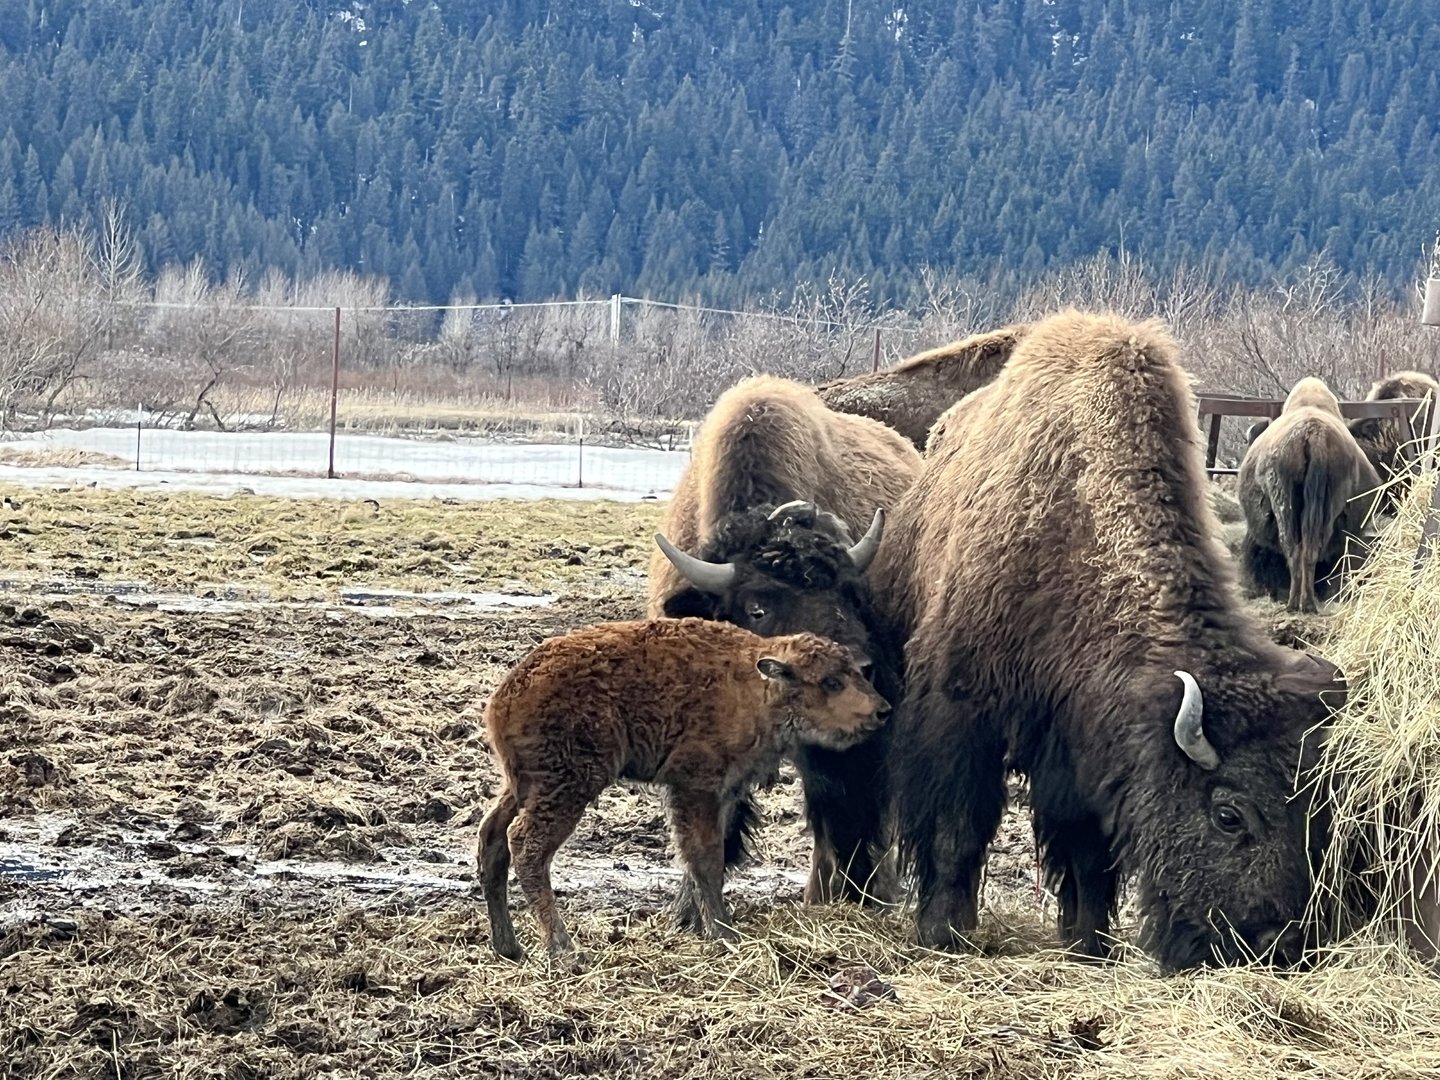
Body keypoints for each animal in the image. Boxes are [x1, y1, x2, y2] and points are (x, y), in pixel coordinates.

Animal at [477, 618, 889, 964]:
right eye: (831, 682)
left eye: (856, 673)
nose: (882, 710)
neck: (757, 687)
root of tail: (504, 699)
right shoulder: (695, 786)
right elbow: (706, 858)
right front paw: (724, 933)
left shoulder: (724, 792)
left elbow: (701, 857)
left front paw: (698, 924)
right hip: (567, 785)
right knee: (526, 846)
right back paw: (563, 949)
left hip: (522, 785)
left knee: (492, 837)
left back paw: (508, 946)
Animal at [648, 374, 921, 909]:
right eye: (758, 608)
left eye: (850, 594)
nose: (858, 669)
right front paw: (690, 907)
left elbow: (840, 808)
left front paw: (845, 895)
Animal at [869, 309, 1347, 972]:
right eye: (1228, 816)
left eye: (1317, 816)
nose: (1277, 943)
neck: (1074, 534)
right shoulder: (960, 713)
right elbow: (957, 828)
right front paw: (946, 931)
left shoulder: (1081, 747)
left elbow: (1088, 851)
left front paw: (1089, 943)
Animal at [1238, 377, 1382, 613]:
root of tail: (1313, 434)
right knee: (1307, 549)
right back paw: (1305, 603)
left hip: (1286, 504)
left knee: (1295, 548)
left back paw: (1297, 603)